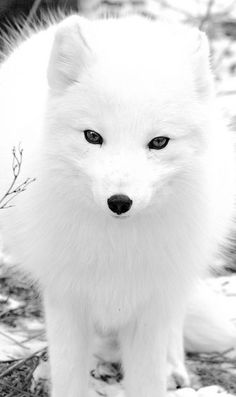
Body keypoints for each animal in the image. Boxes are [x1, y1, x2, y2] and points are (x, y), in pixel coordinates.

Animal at [0, 13, 235, 396]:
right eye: (92, 136)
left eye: (159, 142)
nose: (119, 202)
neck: (116, 247)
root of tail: (125, 21)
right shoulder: (67, 297)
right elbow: (70, 376)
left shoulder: (149, 303)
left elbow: (147, 379)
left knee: (175, 319)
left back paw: (173, 368)